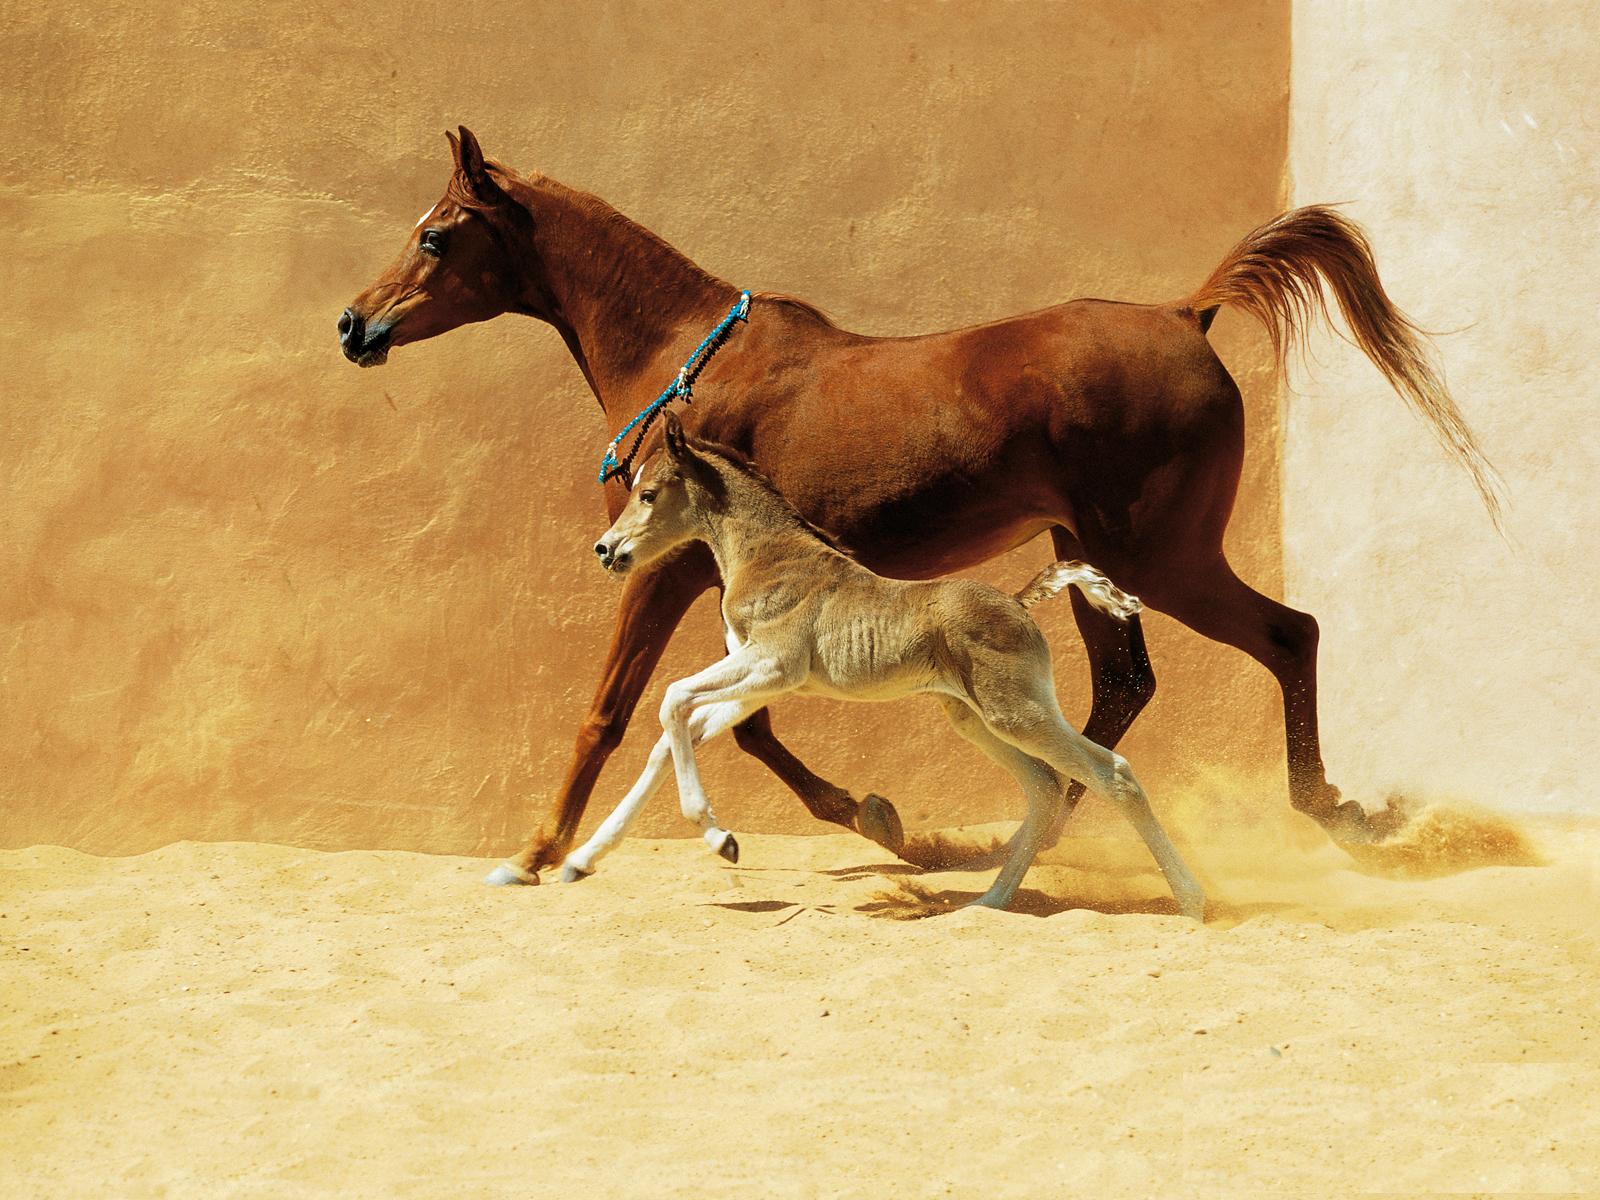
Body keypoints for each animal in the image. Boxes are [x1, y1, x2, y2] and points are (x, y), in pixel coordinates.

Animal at [538, 411, 1205, 919]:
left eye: (649, 494)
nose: (606, 550)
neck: (767, 554)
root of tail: (1019, 601)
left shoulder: (773, 665)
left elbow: (672, 698)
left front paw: (720, 838)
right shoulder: (756, 683)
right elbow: (670, 732)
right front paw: (580, 860)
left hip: (1016, 712)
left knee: (1111, 773)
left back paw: (1192, 900)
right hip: (974, 718)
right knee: (1045, 786)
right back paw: (989, 902)